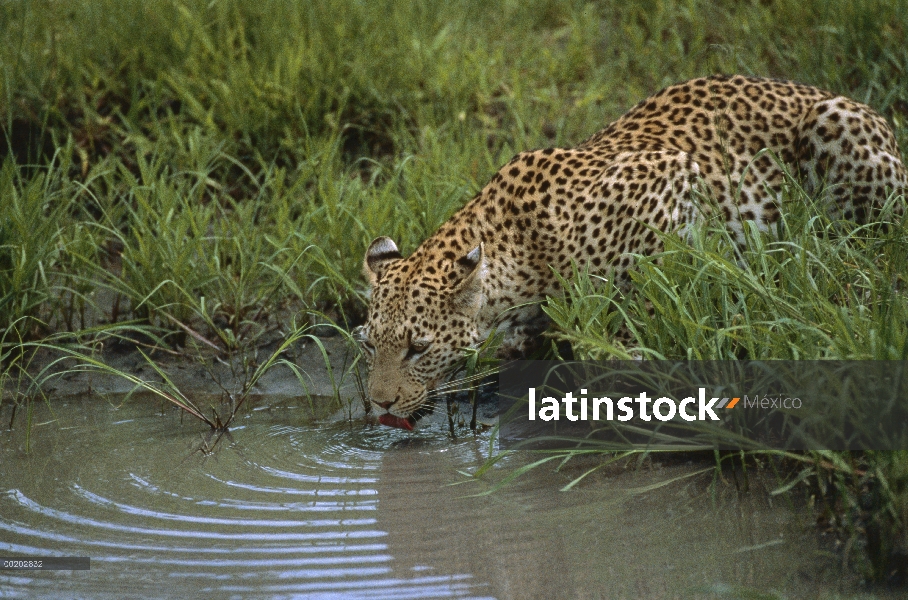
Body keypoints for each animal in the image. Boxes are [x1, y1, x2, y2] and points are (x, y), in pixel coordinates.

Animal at [352, 75, 900, 428]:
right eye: (369, 346)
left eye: (418, 348)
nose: (379, 406)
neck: (520, 253)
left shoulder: (675, 177)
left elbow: (650, 282)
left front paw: (625, 341)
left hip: (840, 138)